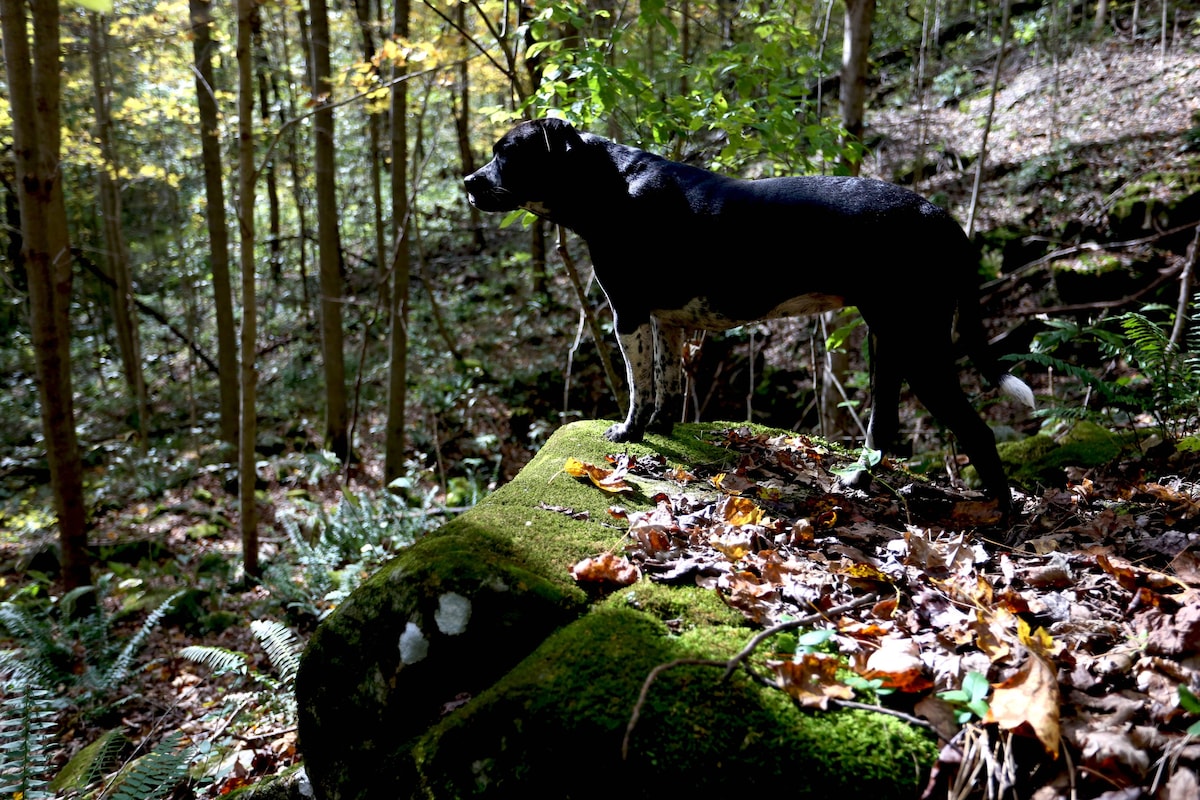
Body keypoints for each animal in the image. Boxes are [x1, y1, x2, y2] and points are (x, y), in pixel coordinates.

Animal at [465, 116, 1032, 510]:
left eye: (507, 153)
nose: (468, 182)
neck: (608, 187)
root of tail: (943, 218)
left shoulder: (629, 313)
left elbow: (638, 385)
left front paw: (630, 432)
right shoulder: (666, 320)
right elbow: (668, 381)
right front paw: (664, 428)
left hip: (916, 342)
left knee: (977, 431)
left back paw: (998, 513)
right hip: (890, 341)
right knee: (885, 424)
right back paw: (855, 482)